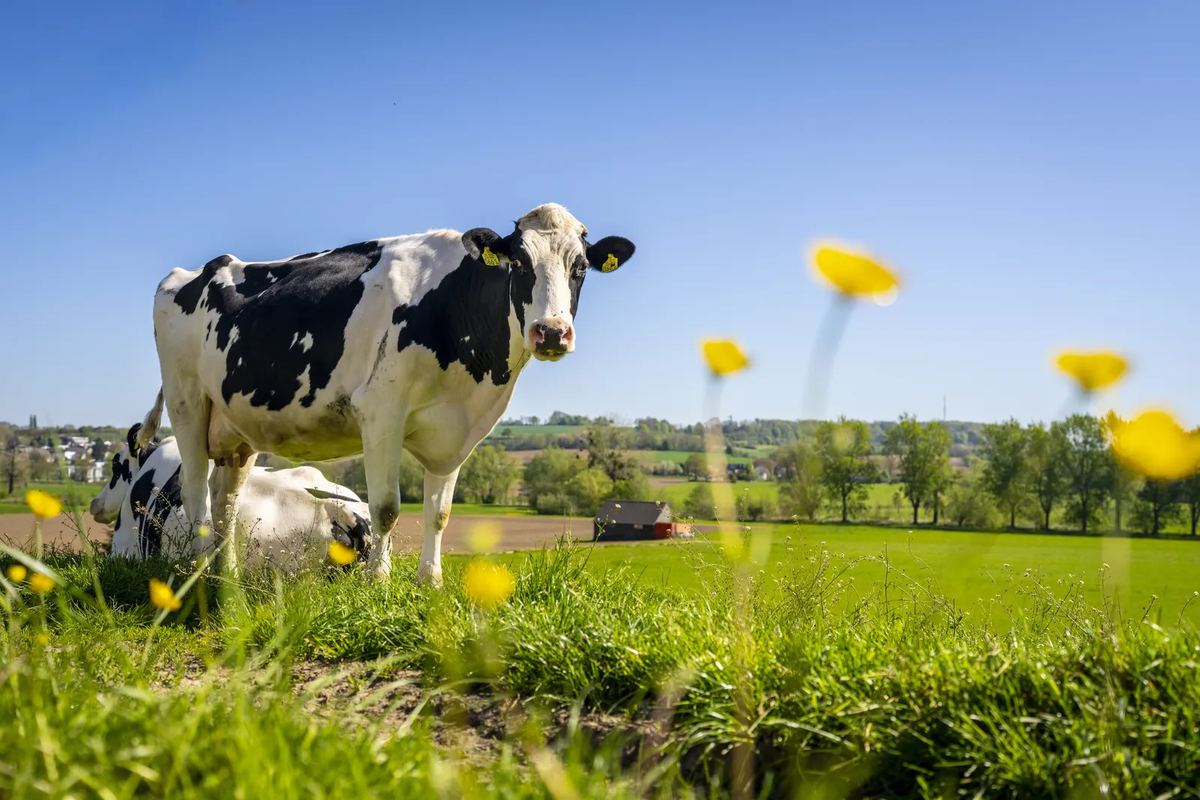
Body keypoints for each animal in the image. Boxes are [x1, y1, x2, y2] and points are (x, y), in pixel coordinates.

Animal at [150, 203, 635, 582]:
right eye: (518, 264)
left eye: (579, 268)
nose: (551, 332)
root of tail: (193, 272)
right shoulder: (382, 410)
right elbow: (385, 508)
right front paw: (378, 581)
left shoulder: (457, 430)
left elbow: (439, 513)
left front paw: (430, 582)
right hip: (187, 401)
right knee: (195, 493)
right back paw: (198, 576)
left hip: (237, 427)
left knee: (225, 501)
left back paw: (226, 577)